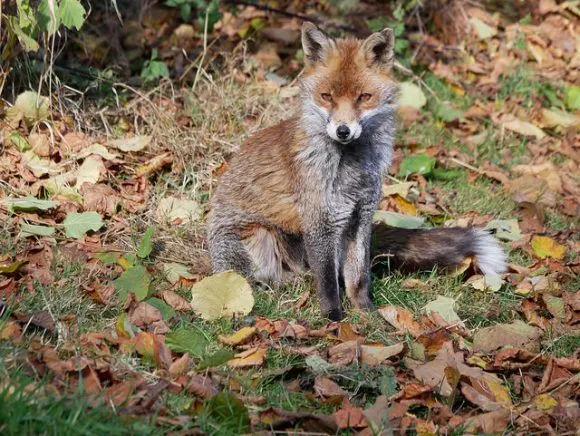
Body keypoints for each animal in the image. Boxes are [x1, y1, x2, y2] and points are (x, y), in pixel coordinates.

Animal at [206, 23, 506, 322]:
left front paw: (367, 312)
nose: (343, 131)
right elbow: (327, 281)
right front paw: (333, 319)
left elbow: (358, 276)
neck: (352, 170)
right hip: (261, 238)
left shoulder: (360, 215)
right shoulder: (321, 221)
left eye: (364, 97)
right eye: (326, 96)